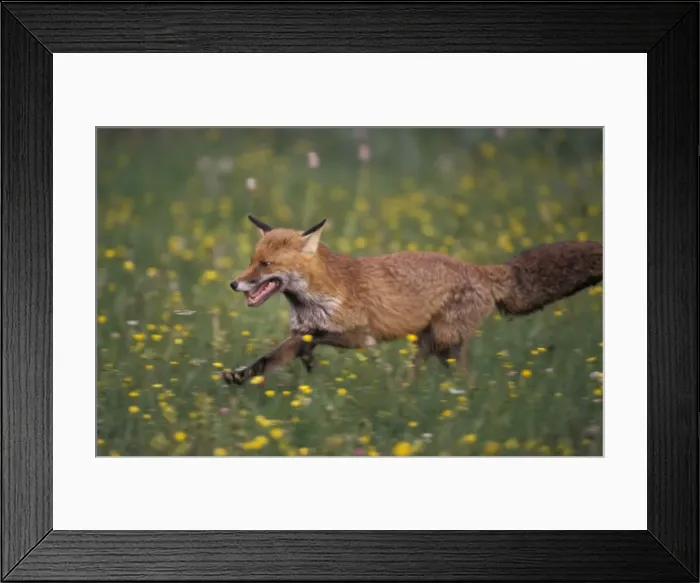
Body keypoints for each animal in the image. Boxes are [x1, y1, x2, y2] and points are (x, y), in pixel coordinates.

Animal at [223, 214, 603, 386]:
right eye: (252, 260)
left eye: (265, 265)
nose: (233, 283)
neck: (313, 298)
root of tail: (481, 269)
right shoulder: (300, 331)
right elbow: (271, 357)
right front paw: (241, 375)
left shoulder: (360, 335)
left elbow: (309, 340)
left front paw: (309, 361)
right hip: (432, 343)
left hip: (443, 342)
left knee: (456, 379)